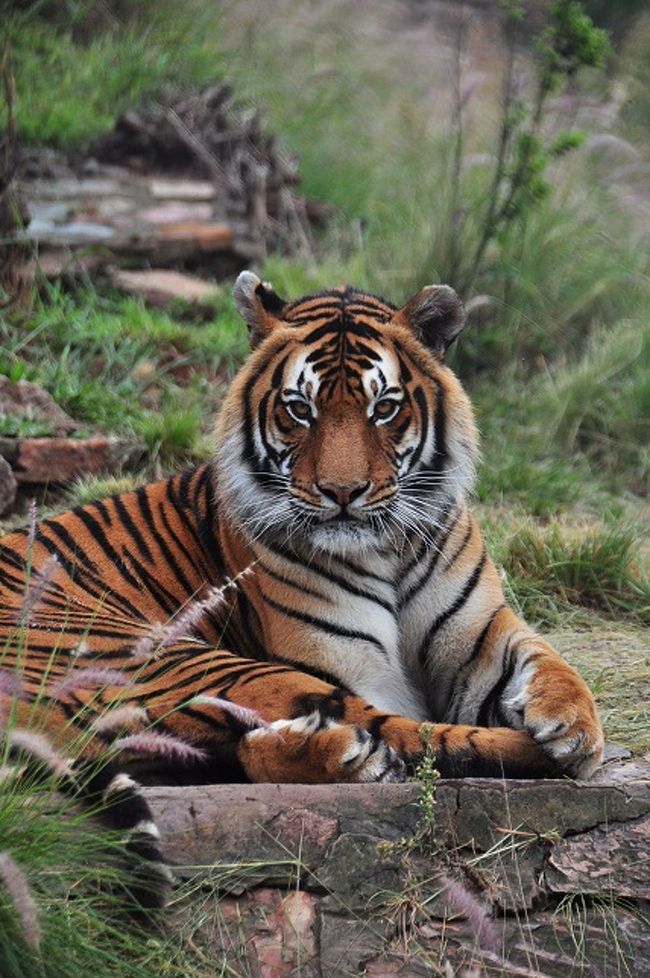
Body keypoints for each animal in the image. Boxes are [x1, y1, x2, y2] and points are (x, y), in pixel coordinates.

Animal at [1, 270, 604, 880]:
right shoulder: (352, 667)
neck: (388, 551)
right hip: (162, 652)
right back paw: (359, 756)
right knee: (384, 733)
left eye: (384, 407)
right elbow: (405, 721)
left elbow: (547, 659)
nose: (342, 492)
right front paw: (564, 748)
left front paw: (574, 728)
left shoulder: (479, 635)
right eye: (299, 409)